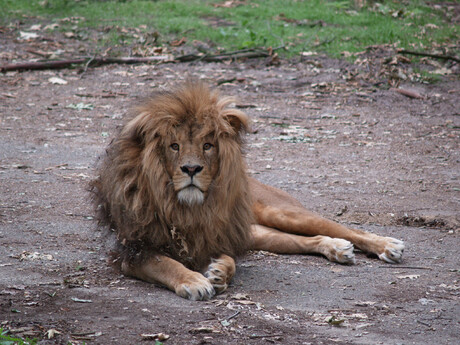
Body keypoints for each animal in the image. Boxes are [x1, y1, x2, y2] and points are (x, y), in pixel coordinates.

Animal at [90, 80, 406, 298]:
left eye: (208, 145)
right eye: (174, 146)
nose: (191, 169)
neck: (185, 207)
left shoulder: (219, 238)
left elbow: (228, 259)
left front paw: (218, 272)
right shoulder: (133, 251)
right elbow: (167, 264)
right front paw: (195, 281)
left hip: (281, 212)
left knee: (340, 228)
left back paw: (385, 245)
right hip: (259, 234)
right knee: (310, 238)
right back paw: (336, 248)